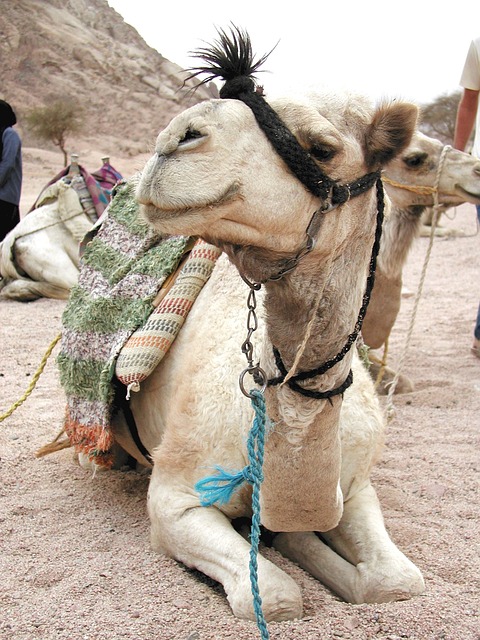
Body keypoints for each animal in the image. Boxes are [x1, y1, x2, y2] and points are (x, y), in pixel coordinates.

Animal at [75, 31, 428, 624]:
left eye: (322, 148)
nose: (174, 138)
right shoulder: (176, 500)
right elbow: (276, 597)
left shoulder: (356, 485)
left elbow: (396, 582)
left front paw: (300, 541)